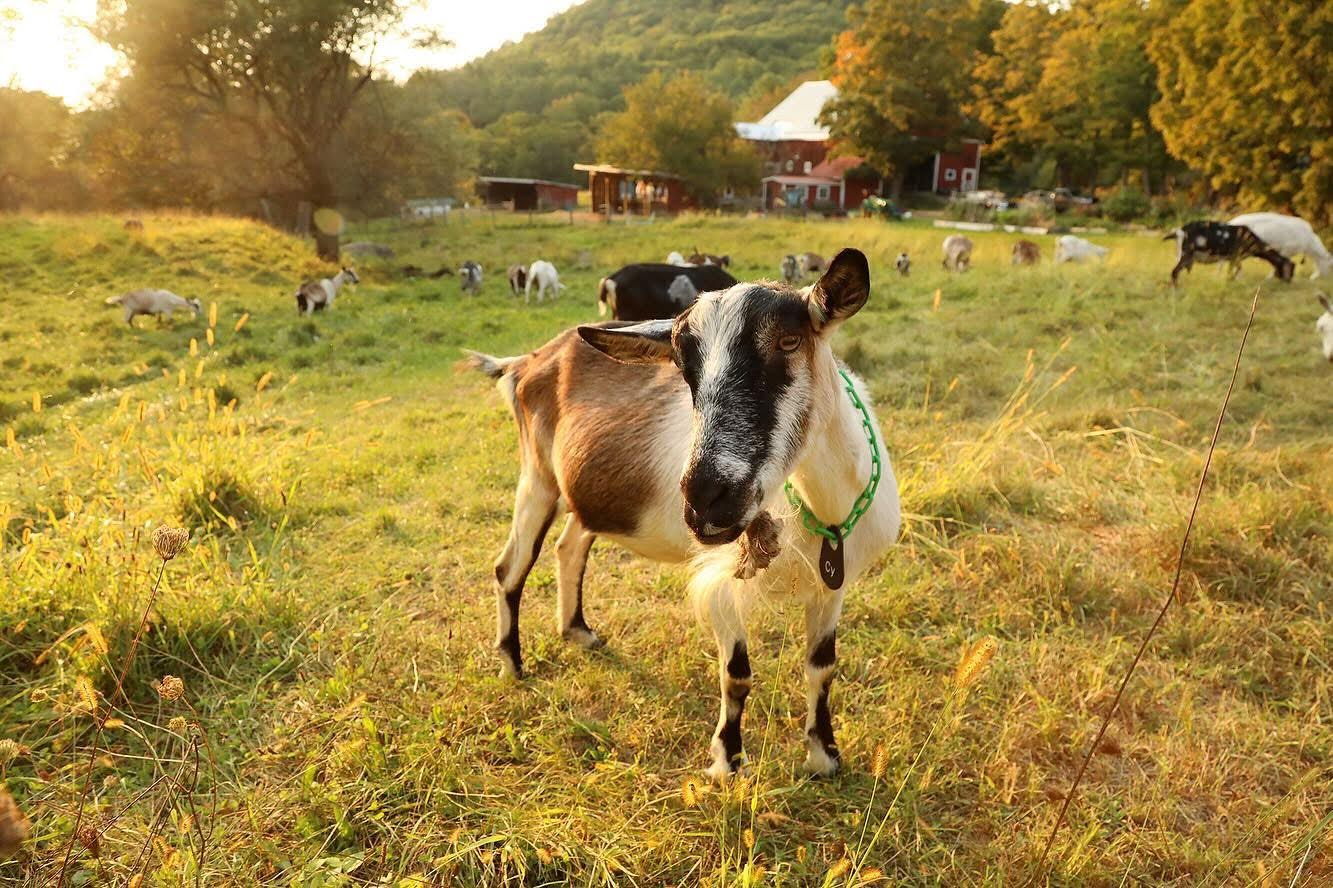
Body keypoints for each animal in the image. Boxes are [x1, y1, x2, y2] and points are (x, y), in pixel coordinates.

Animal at [463, 248, 900, 779]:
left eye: (789, 340)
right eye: (683, 367)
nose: (705, 500)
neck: (825, 509)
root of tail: (525, 361)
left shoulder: (831, 585)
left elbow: (823, 667)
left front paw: (824, 757)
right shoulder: (721, 585)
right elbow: (737, 675)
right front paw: (727, 763)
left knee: (569, 548)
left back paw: (579, 632)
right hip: (537, 477)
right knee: (510, 568)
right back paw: (512, 664)